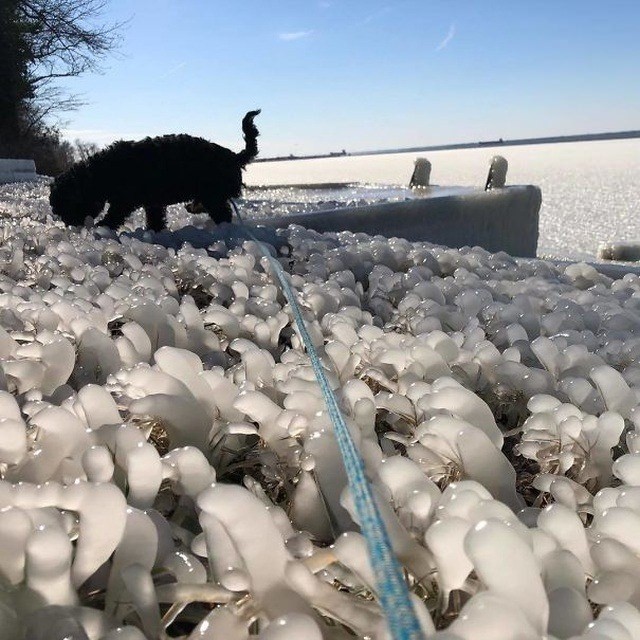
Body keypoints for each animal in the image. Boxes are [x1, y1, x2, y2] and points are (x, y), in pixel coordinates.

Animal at [49, 110, 260, 232]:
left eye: (66, 207)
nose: (69, 225)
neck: (101, 173)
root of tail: (234, 156)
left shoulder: (124, 200)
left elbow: (114, 215)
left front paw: (102, 227)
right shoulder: (152, 202)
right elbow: (155, 218)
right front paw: (155, 230)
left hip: (212, 193)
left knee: (222, 213)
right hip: (211, 193)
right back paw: (194, 207)